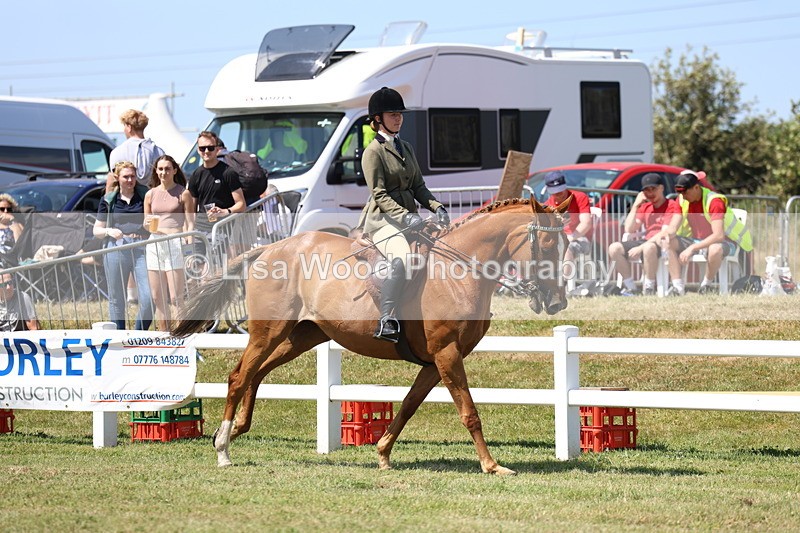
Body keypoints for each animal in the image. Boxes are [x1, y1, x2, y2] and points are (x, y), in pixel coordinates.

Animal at [172, 198, 569, 475]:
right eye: (547, 246)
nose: (557, 302)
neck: (459, 270)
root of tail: (268, 248)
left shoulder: (435, 360)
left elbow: (409, 405)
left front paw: (382, 454)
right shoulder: (447, 353)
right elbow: (469, 412)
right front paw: (492, 465)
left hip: (302, 335)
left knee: (257, 373)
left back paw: (236, 430)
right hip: (268, 331)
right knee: (240, 376)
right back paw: (224, 449)